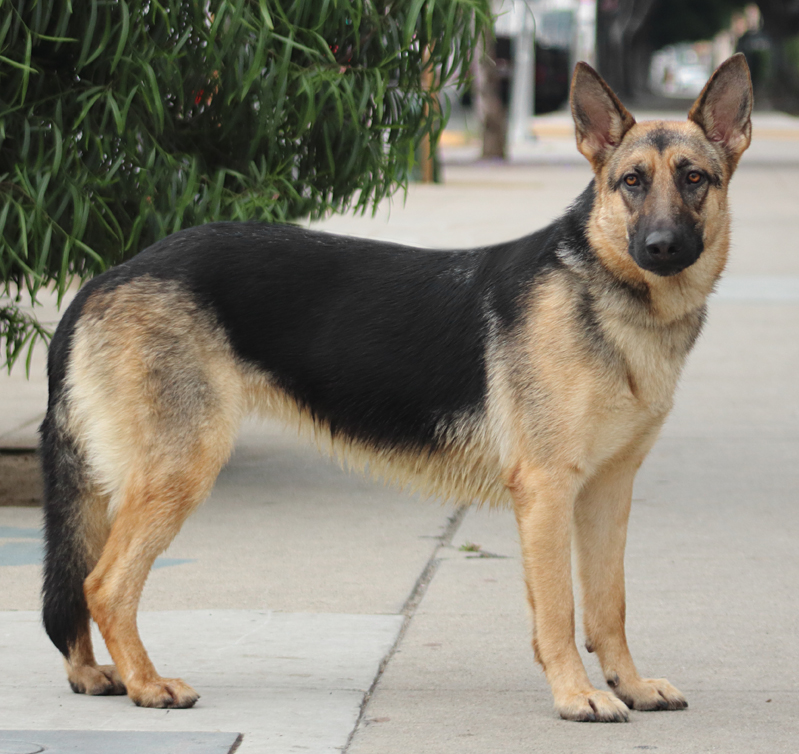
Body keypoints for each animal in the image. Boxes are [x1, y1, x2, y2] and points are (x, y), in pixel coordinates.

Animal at [40, 55, 752, 722]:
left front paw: (629, 685)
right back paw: (147, 684)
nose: (661, 247)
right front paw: (576, 696)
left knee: (77, 579)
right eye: (631, 183)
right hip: (179, 472)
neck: (609, 292)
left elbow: (609, 606)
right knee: (104, 585)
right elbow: (558, 611)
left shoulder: (607, 492)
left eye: (695, 178)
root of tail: (108, 276)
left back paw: (94, 674)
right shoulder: (548, 491)